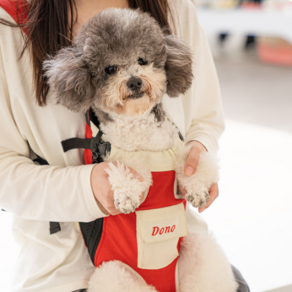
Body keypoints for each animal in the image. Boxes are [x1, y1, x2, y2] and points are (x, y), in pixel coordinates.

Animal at [44, 8, 238, 290]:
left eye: (142, 60)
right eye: (110, 68)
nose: (135, 82)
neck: (139, 127)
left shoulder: (176, 147)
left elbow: (194, 162)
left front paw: (198, 190)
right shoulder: (114, 153)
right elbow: (126, 169)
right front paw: (127, 196)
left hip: (198, 247)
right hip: (113, 272)